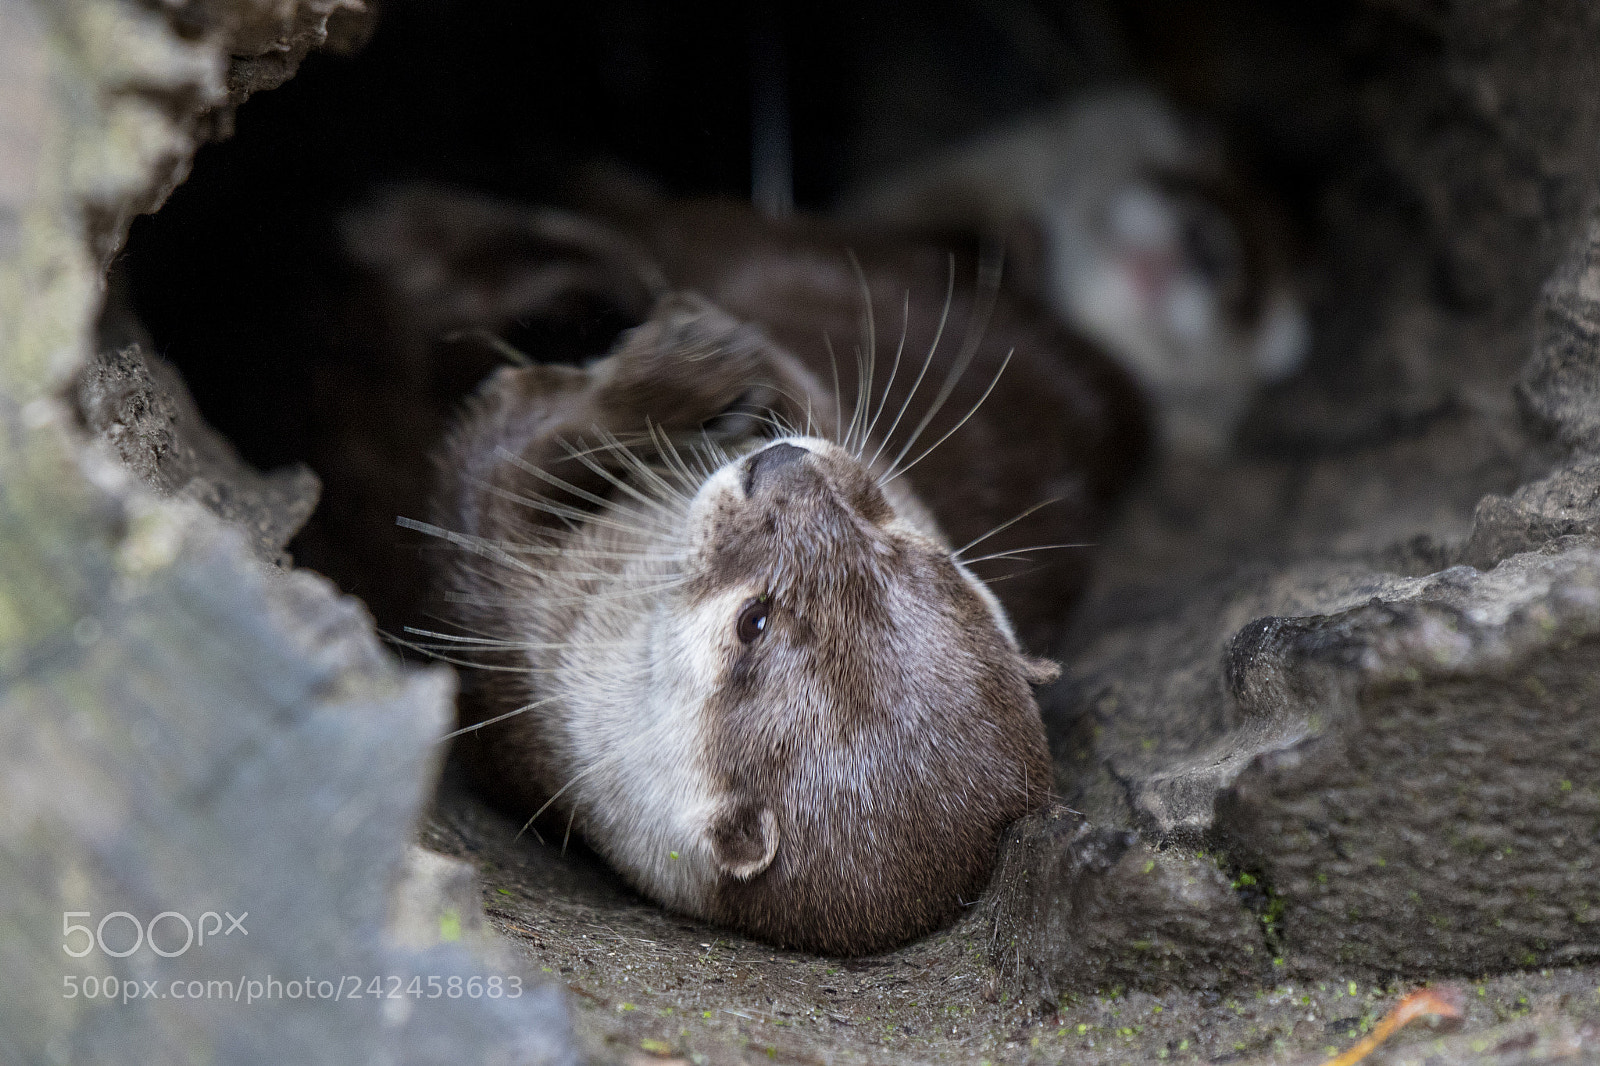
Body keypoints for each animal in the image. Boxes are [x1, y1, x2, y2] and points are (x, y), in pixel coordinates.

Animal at [341, 186, 1147, 954]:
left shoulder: (514, 623)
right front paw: (729, 365)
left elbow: (499, 459)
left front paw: (668, 376)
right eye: (906, 548)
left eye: (752, 621)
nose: (782, 467)